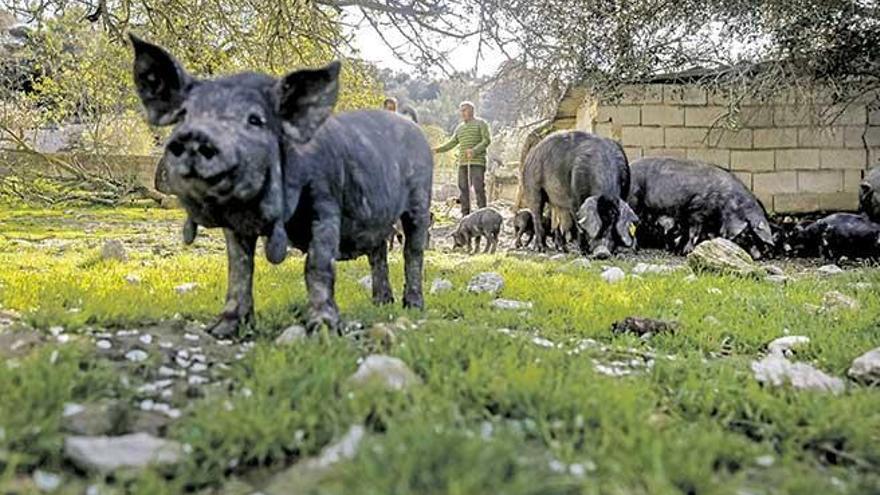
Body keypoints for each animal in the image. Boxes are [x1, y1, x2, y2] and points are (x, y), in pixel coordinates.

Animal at [131, 35, 434, 338]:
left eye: (255, 120)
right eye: (184, 115)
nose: (195, 136)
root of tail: (414, 126)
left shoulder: (326, 204)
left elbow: (317, 265)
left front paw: (323, 328)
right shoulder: (236, 227)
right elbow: (239, 269)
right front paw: (221, 330)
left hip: (420, 197)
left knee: (413, 251)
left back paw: (413, 306)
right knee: (378, 252)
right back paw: (381, 303)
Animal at [628, 158, 772, 260]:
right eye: (747, 234)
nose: (759, 257)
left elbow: (688, 233)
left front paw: (679, 251)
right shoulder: (696, 210)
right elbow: (694, 232)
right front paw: (687, 252)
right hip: (634, 200)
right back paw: (634, 250)